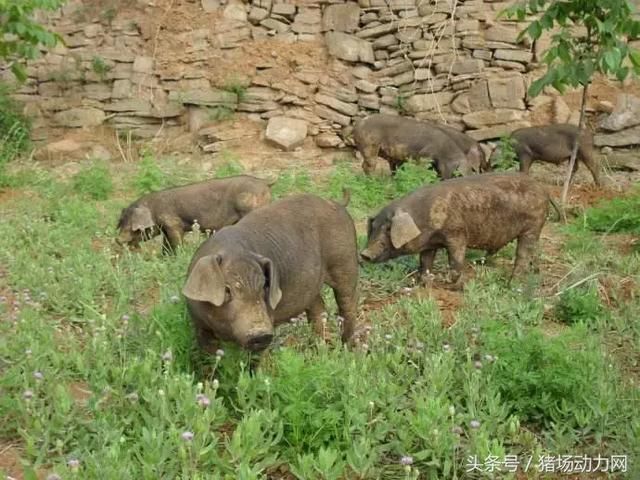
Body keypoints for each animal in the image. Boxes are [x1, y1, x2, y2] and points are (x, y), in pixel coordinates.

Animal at [117, 174, 276, 253]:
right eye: (120, 222)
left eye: (131, 226)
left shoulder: (173, 223)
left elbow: (177, 242)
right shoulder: (166, 229)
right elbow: (166, 245)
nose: (117, 240)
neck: (154, 210)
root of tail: (264, 182)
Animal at [181, 191, 360, 352]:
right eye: (226, 290)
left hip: (345, 261)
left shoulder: (269, 316)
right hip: (312, 284)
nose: (261, 334)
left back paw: (348, 348)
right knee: (318, 307)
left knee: (348, 304)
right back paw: (319, 348)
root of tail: (336, 203)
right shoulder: (199, 326)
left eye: (263, 287)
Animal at [352, 113, 482, 179]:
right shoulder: (424, 156)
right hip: (369, 145)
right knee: (367, 165)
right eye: (459, 175)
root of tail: (358, 123)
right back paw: (372, 180)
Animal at [360, 173, 560, 288]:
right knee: (535, 251)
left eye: (388, 230)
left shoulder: (456, 234)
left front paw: (453, 285)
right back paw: (535, 272)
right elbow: (425, 261)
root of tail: (544, 189)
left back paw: (512, 284)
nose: (364, 254)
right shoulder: (430, 244)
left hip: (532, 226)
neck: (423, 220)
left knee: (523, 254)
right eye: (374, 228)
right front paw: (423, 283)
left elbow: (455, 260)